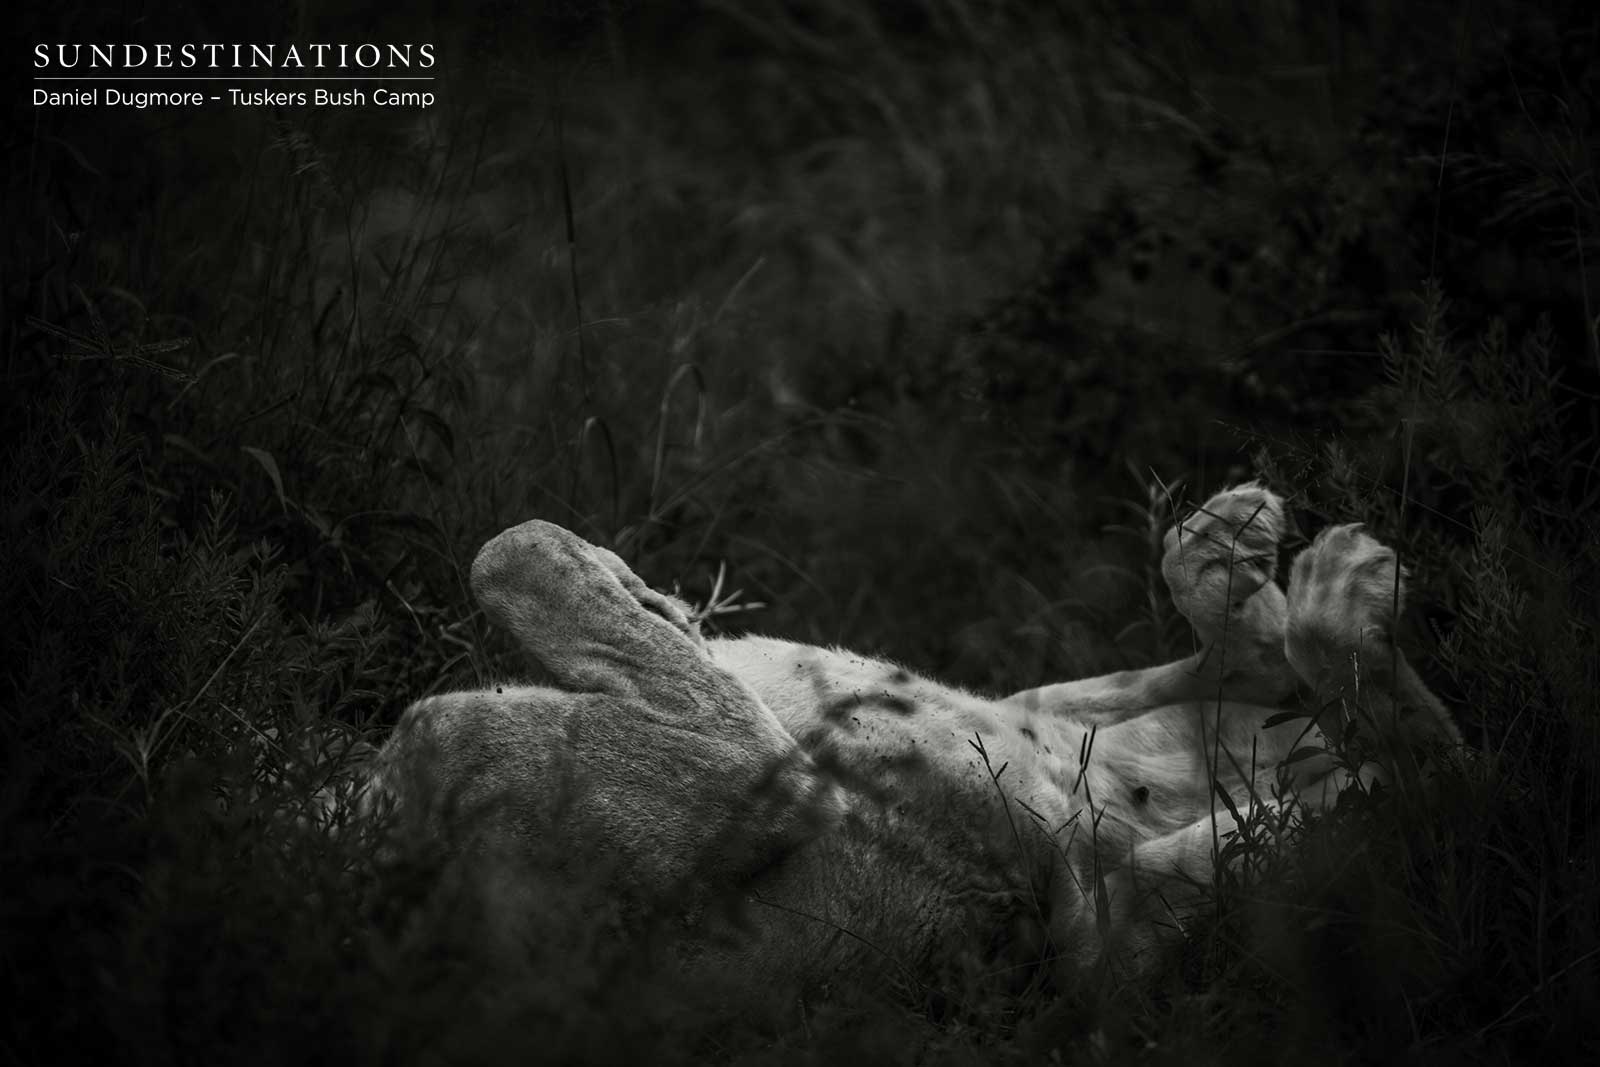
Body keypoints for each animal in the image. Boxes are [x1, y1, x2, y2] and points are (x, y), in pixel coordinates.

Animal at [363, 484, 1461, 1000]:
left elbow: (510, 549)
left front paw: (650, 594)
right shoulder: (737, 774)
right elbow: (510, 553)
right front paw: (637, 591)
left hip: (1048, 707)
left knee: (1255, 664)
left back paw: (1230, 543)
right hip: (1120, 923)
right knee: (1426, 770)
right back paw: (1339, 587)